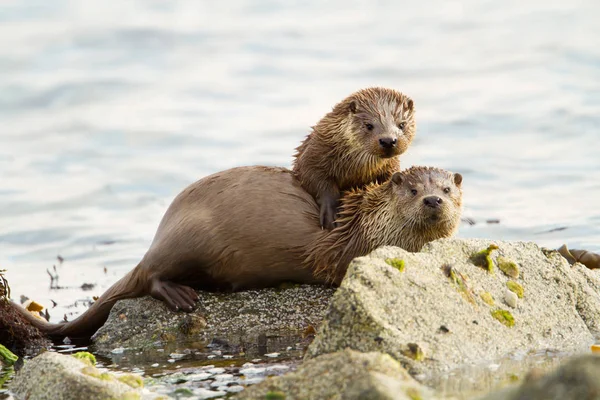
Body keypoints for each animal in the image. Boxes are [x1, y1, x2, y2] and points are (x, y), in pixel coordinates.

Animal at [15, 166, 464, 340]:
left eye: (447, 188)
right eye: (412, 189)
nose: (432, 200)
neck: (367, 222)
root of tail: (161, 232)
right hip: (188, 237)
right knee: (152, 275)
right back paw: (182, 296)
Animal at [292, 87, 414, 231]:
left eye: (402, 124)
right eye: (368, 125)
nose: (388, 140)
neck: (354, 170)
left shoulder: (390, 166)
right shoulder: (312, 155)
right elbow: (315, 179)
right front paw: (330, 213)